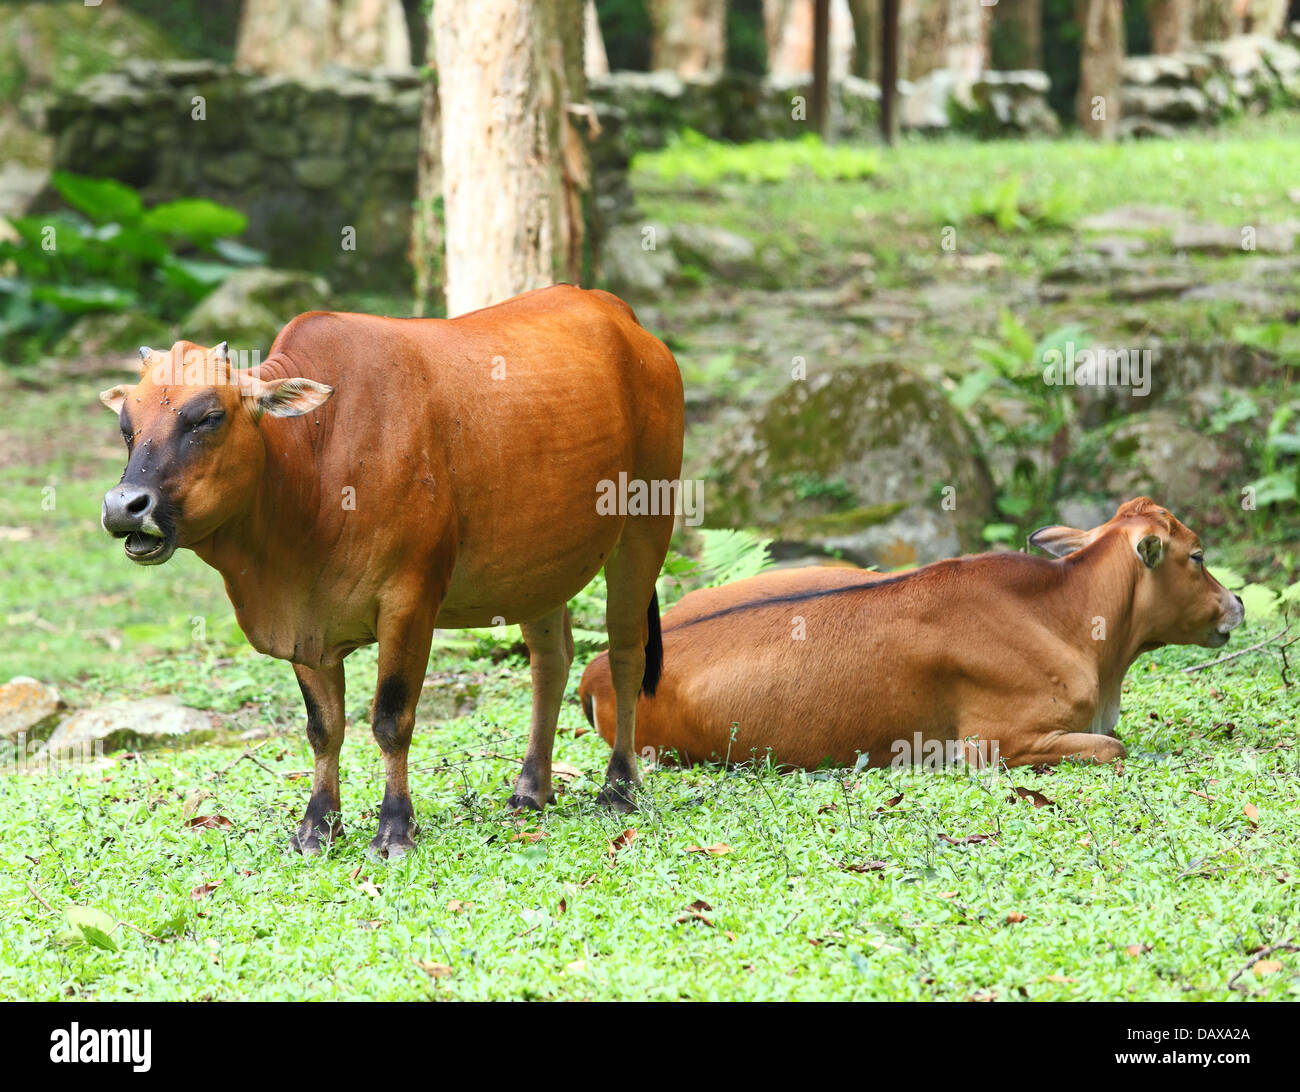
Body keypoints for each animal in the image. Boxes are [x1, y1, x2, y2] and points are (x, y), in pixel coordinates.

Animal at [99, 285, 684, 856]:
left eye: (208, 417)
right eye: (127, 426)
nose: (124, 505)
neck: (317, 463)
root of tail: (624, 317)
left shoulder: (409, 602)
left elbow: (391, 719)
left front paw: (395, 827)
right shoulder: (304, 625)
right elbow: (323, 727)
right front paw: (317, 825)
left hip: (645, 528)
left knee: (626, 653)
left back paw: (620, 786)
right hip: (539, 571)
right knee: (551, 661)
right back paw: (531, 788)